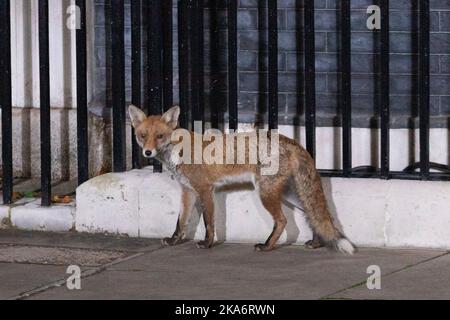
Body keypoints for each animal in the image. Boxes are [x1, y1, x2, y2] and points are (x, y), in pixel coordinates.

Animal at [129, 105, 356, 255]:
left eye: (159, 136)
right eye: (142, 135)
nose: (147, 152)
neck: (179, 151)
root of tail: (292, 141)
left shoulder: (205, 190)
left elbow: (209, 222)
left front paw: (207, 244)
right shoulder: (188, 191)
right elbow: (180, 222)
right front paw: (174, 240)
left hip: (265, 192)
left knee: (282, 220)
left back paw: (267, 246)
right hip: (289, 194)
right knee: (313, 214)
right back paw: (316, 243)